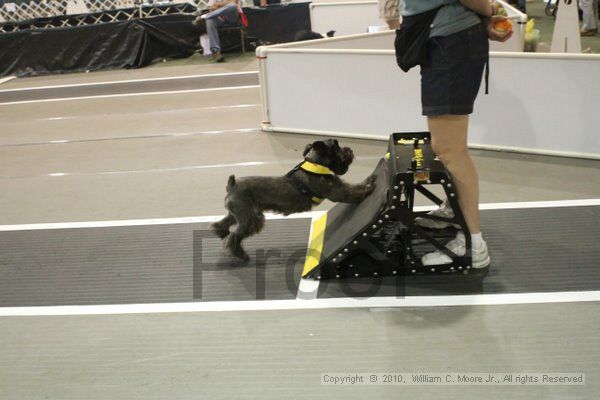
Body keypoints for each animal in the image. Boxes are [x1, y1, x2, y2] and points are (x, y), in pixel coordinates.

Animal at [212, 139, 376, 260]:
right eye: (336, 148)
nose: (350, 150)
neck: (316, 165)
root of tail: (232, 185)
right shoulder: (337, 192)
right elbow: (352, 192)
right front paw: (367, 190)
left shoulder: (339, 186)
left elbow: (355, 185)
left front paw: (369, 180)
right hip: (250, 219)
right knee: (234, 237)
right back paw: (241, 254)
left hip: (237, 214)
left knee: (222, 224)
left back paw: (221, 233)